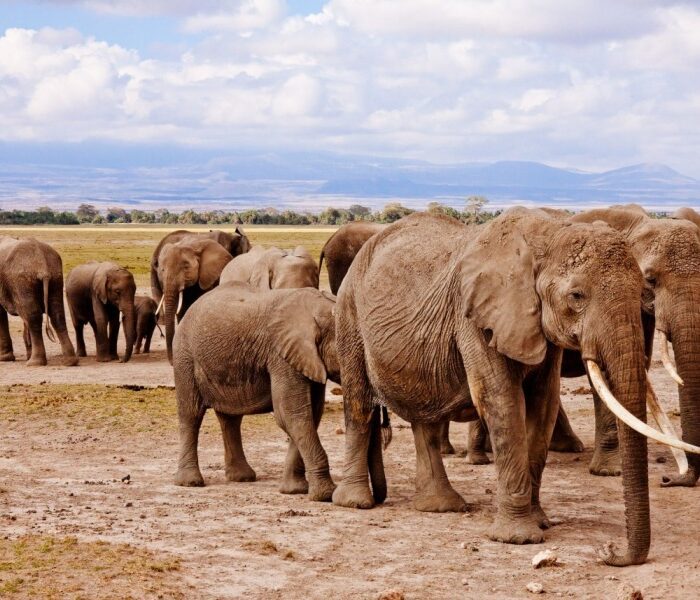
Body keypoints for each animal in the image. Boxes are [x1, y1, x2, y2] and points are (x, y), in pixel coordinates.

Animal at [0, 236, 78, 366]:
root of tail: (42, 263)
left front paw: (5, 358)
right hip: (56, 278)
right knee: (57, 315)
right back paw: (70, 361)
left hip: (22, 280)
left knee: (33, 317)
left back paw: (34, 362)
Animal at [173, 283, 339, 502]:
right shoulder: (281, 356)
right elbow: (291, 414)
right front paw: (326, 495)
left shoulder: (307, 359)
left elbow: (309, 414)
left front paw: (294, 490)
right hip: (184, 356)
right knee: (191, 414)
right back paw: (190, 482)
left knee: (230, 419)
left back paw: (242, 478)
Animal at [332, 208, 700, 567]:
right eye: (576, 296)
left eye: (642, 289)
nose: (609, 551)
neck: (548, 236)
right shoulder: (475, 317)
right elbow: (503, 401)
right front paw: (518, 538)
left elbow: (543, 404)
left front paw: (540, 522)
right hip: (349, 313)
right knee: (359, 404)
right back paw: (355, 502)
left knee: (426, 417)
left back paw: (440, 506)